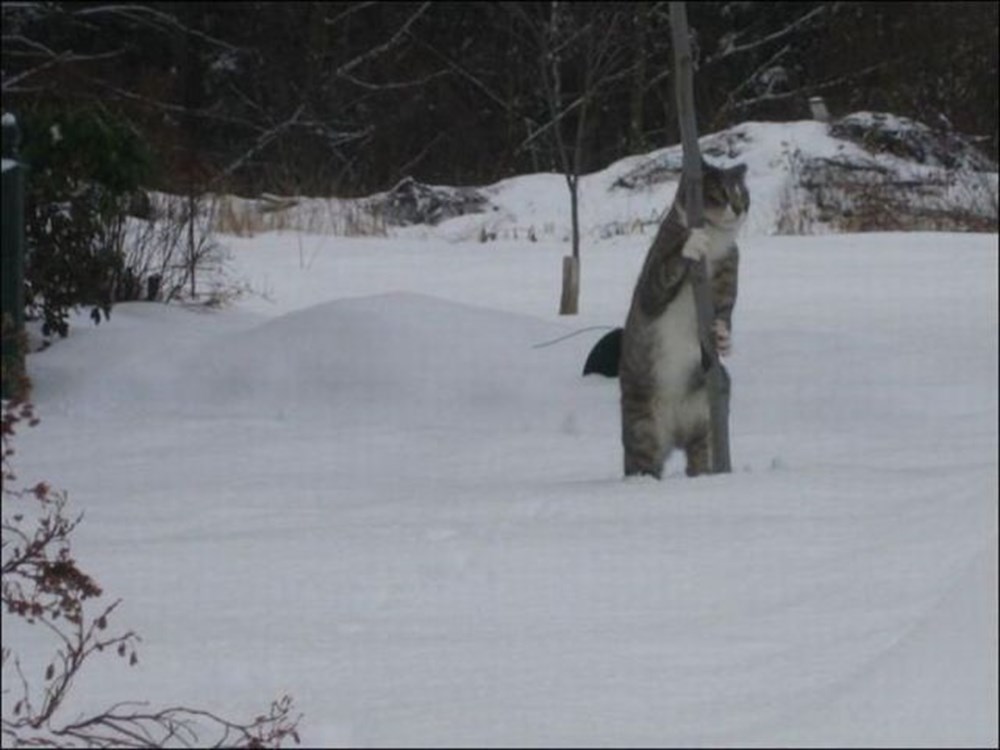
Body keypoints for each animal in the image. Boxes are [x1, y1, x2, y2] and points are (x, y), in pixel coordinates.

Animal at [616, 161, 752, 478]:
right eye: (720, 193)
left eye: (743, 194)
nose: (740, 208)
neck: (716, 245)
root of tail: (677, 432)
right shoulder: (652, 284)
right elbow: (665, 271)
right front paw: (692, 243)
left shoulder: (730, 269)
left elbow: (725, 315)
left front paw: (723, 338)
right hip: (643, 427)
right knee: (642, 462)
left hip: (708, 424)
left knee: (702, 457)